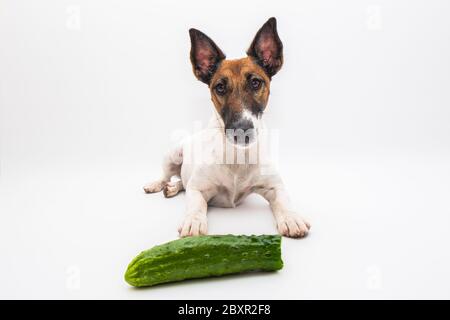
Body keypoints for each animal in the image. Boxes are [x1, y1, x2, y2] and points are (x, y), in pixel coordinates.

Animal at [143, 16, 310, 238]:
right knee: (168, 177)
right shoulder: (197, 188)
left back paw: (173, 188)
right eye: (220, 87)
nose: (242, 131)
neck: (237, 156)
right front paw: (193, 220)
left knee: (181, 183)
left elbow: (284, 200)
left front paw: (292, 217)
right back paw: (158, 185)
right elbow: (195, 203)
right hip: (173, 155)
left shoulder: (275, 187)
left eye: (256, 83)